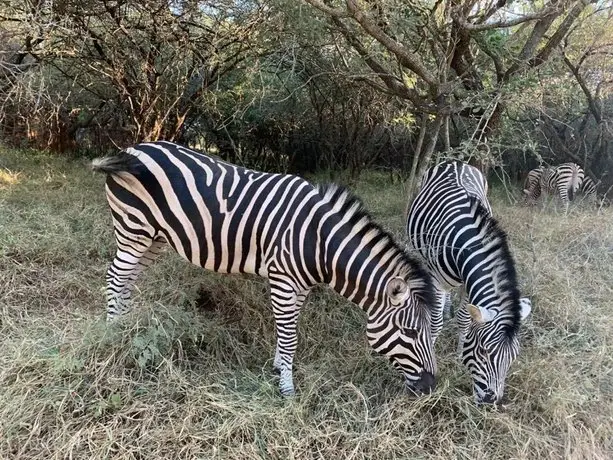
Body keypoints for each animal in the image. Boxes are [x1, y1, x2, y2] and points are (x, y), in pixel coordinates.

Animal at [91, 140, 438, 396]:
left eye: (432, 333)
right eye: (409, 332)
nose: (430, 388)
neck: (321, 242)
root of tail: (132, 149)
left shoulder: (300, 285)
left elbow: (287, 331)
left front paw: (278, 368)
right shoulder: (282, 279)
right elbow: (290, 335)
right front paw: (287, 390)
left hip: (154, 238)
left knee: (127, 279)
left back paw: (127, 327)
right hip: (133, 229)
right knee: (115, 277)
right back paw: (112, 332)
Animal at [406, 160, 532, 404]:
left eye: (513, 357)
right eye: (483, 351)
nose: (491, 402)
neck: (466, 243)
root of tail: (456, 162)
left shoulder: (468, 284)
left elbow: (465, 320)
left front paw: (458, 355)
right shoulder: (438, 280)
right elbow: (435, 324)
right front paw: (431, 353)